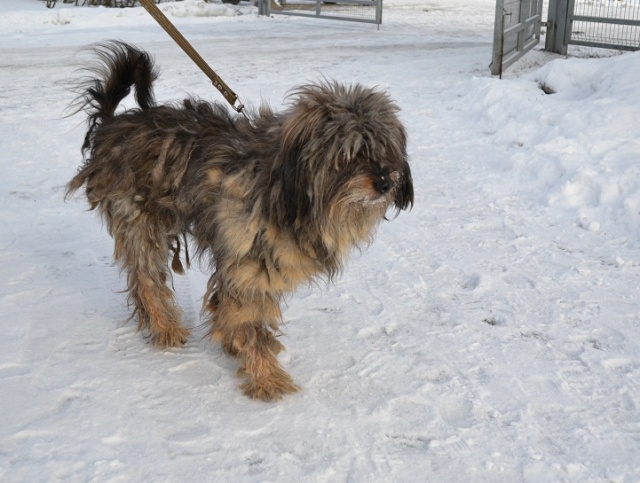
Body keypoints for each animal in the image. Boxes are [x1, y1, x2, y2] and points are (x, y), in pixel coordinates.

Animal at [66, 41, 413, 401]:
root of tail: (112, 126)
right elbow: (248, 321)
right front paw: (267, 378)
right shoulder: (247, 263)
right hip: (139, 221)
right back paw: (165, 326)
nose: (386, 183)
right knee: (146, 280)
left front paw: (237, 346)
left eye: (386, 148)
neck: (283, 186)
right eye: (348, 153)